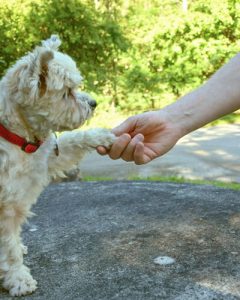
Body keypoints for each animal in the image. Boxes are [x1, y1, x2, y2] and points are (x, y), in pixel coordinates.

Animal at [0, 35, 115, 296]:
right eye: (67, 93)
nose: (94, 103)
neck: (20, 139)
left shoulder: (50, 157)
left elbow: (73, 140)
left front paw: (102, 136)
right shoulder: (5, 208)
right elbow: (9, 249)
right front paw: (19, 278)